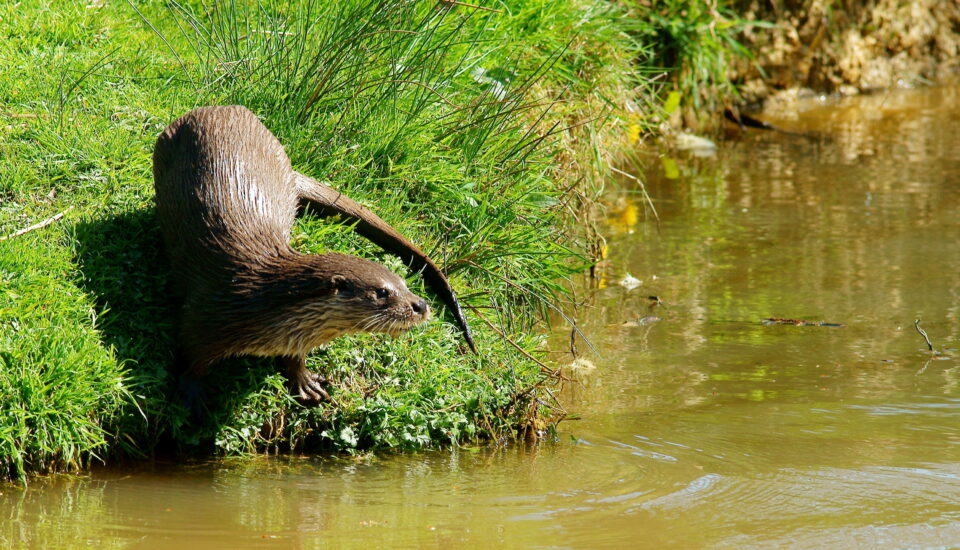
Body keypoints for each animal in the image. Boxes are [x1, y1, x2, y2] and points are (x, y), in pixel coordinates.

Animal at [153, 105, 475, 402]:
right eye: (382, 292)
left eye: (406, 284)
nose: (420, 304)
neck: (252, 298)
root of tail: (231, 107)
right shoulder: (202, 317)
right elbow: (190, 356)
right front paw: (191, 392)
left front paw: (303, 379)